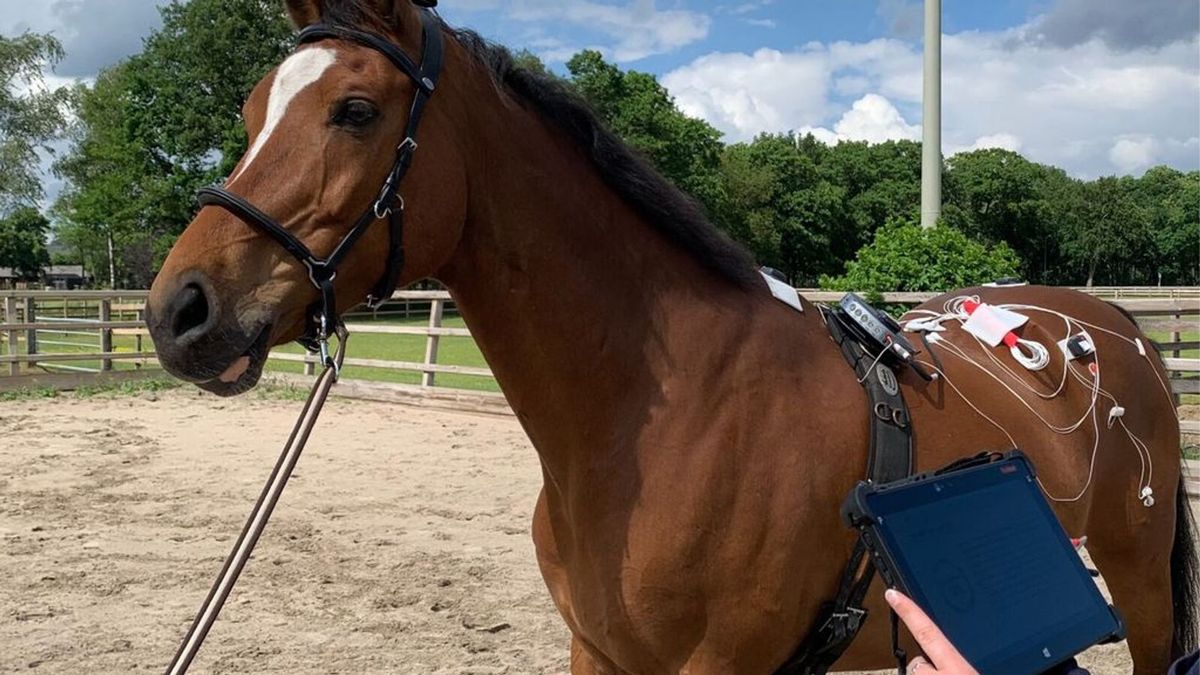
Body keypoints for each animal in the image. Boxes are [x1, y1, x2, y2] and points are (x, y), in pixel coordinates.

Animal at [144, 1, 1197, 672]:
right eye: (250, 111)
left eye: (356, 111)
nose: (178, 311)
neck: (671, 421)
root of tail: (1117, 331)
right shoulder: (600, 653)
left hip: (1140, 587)